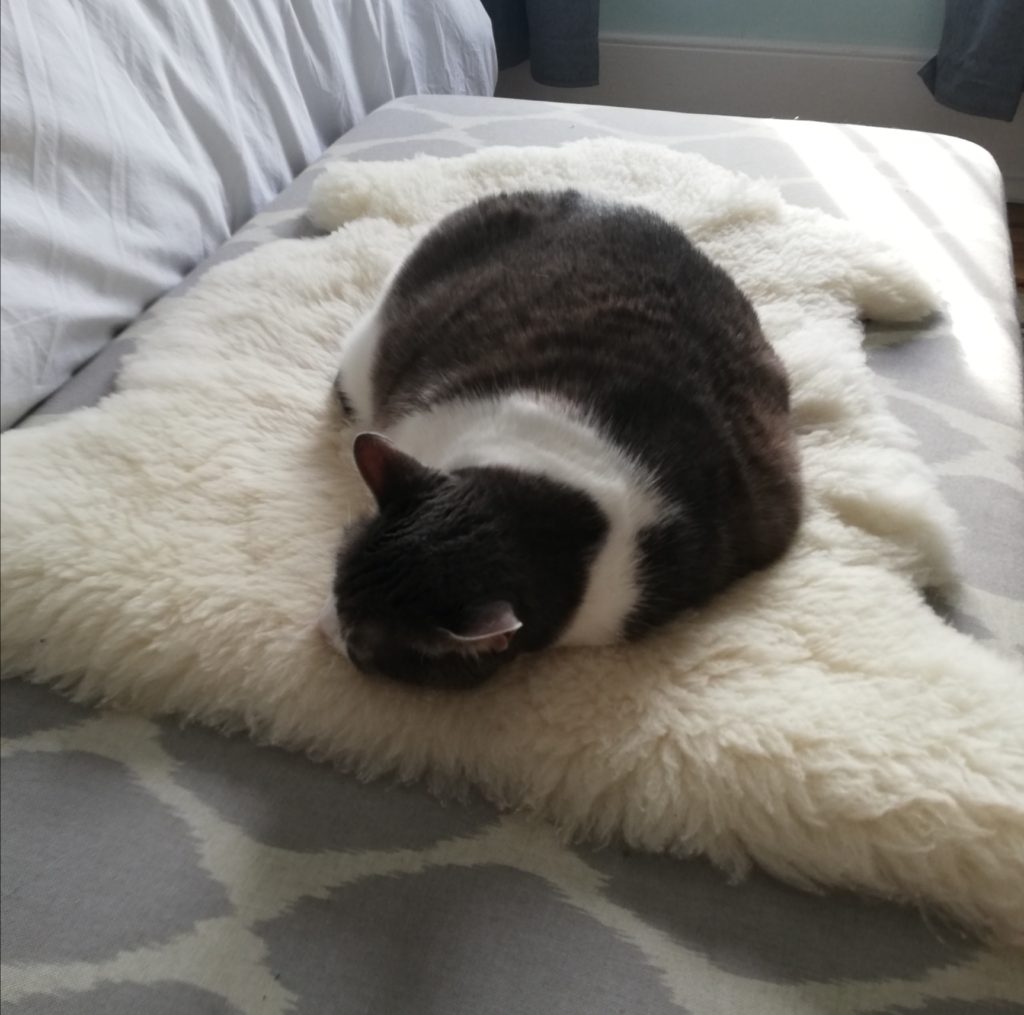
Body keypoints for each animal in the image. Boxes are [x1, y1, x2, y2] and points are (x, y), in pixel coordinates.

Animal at [317, 188, 798, 692]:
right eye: (334, 574)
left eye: (360, 647)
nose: (321, 627)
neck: (564, 512)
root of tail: (566, 194)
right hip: (375, 341)